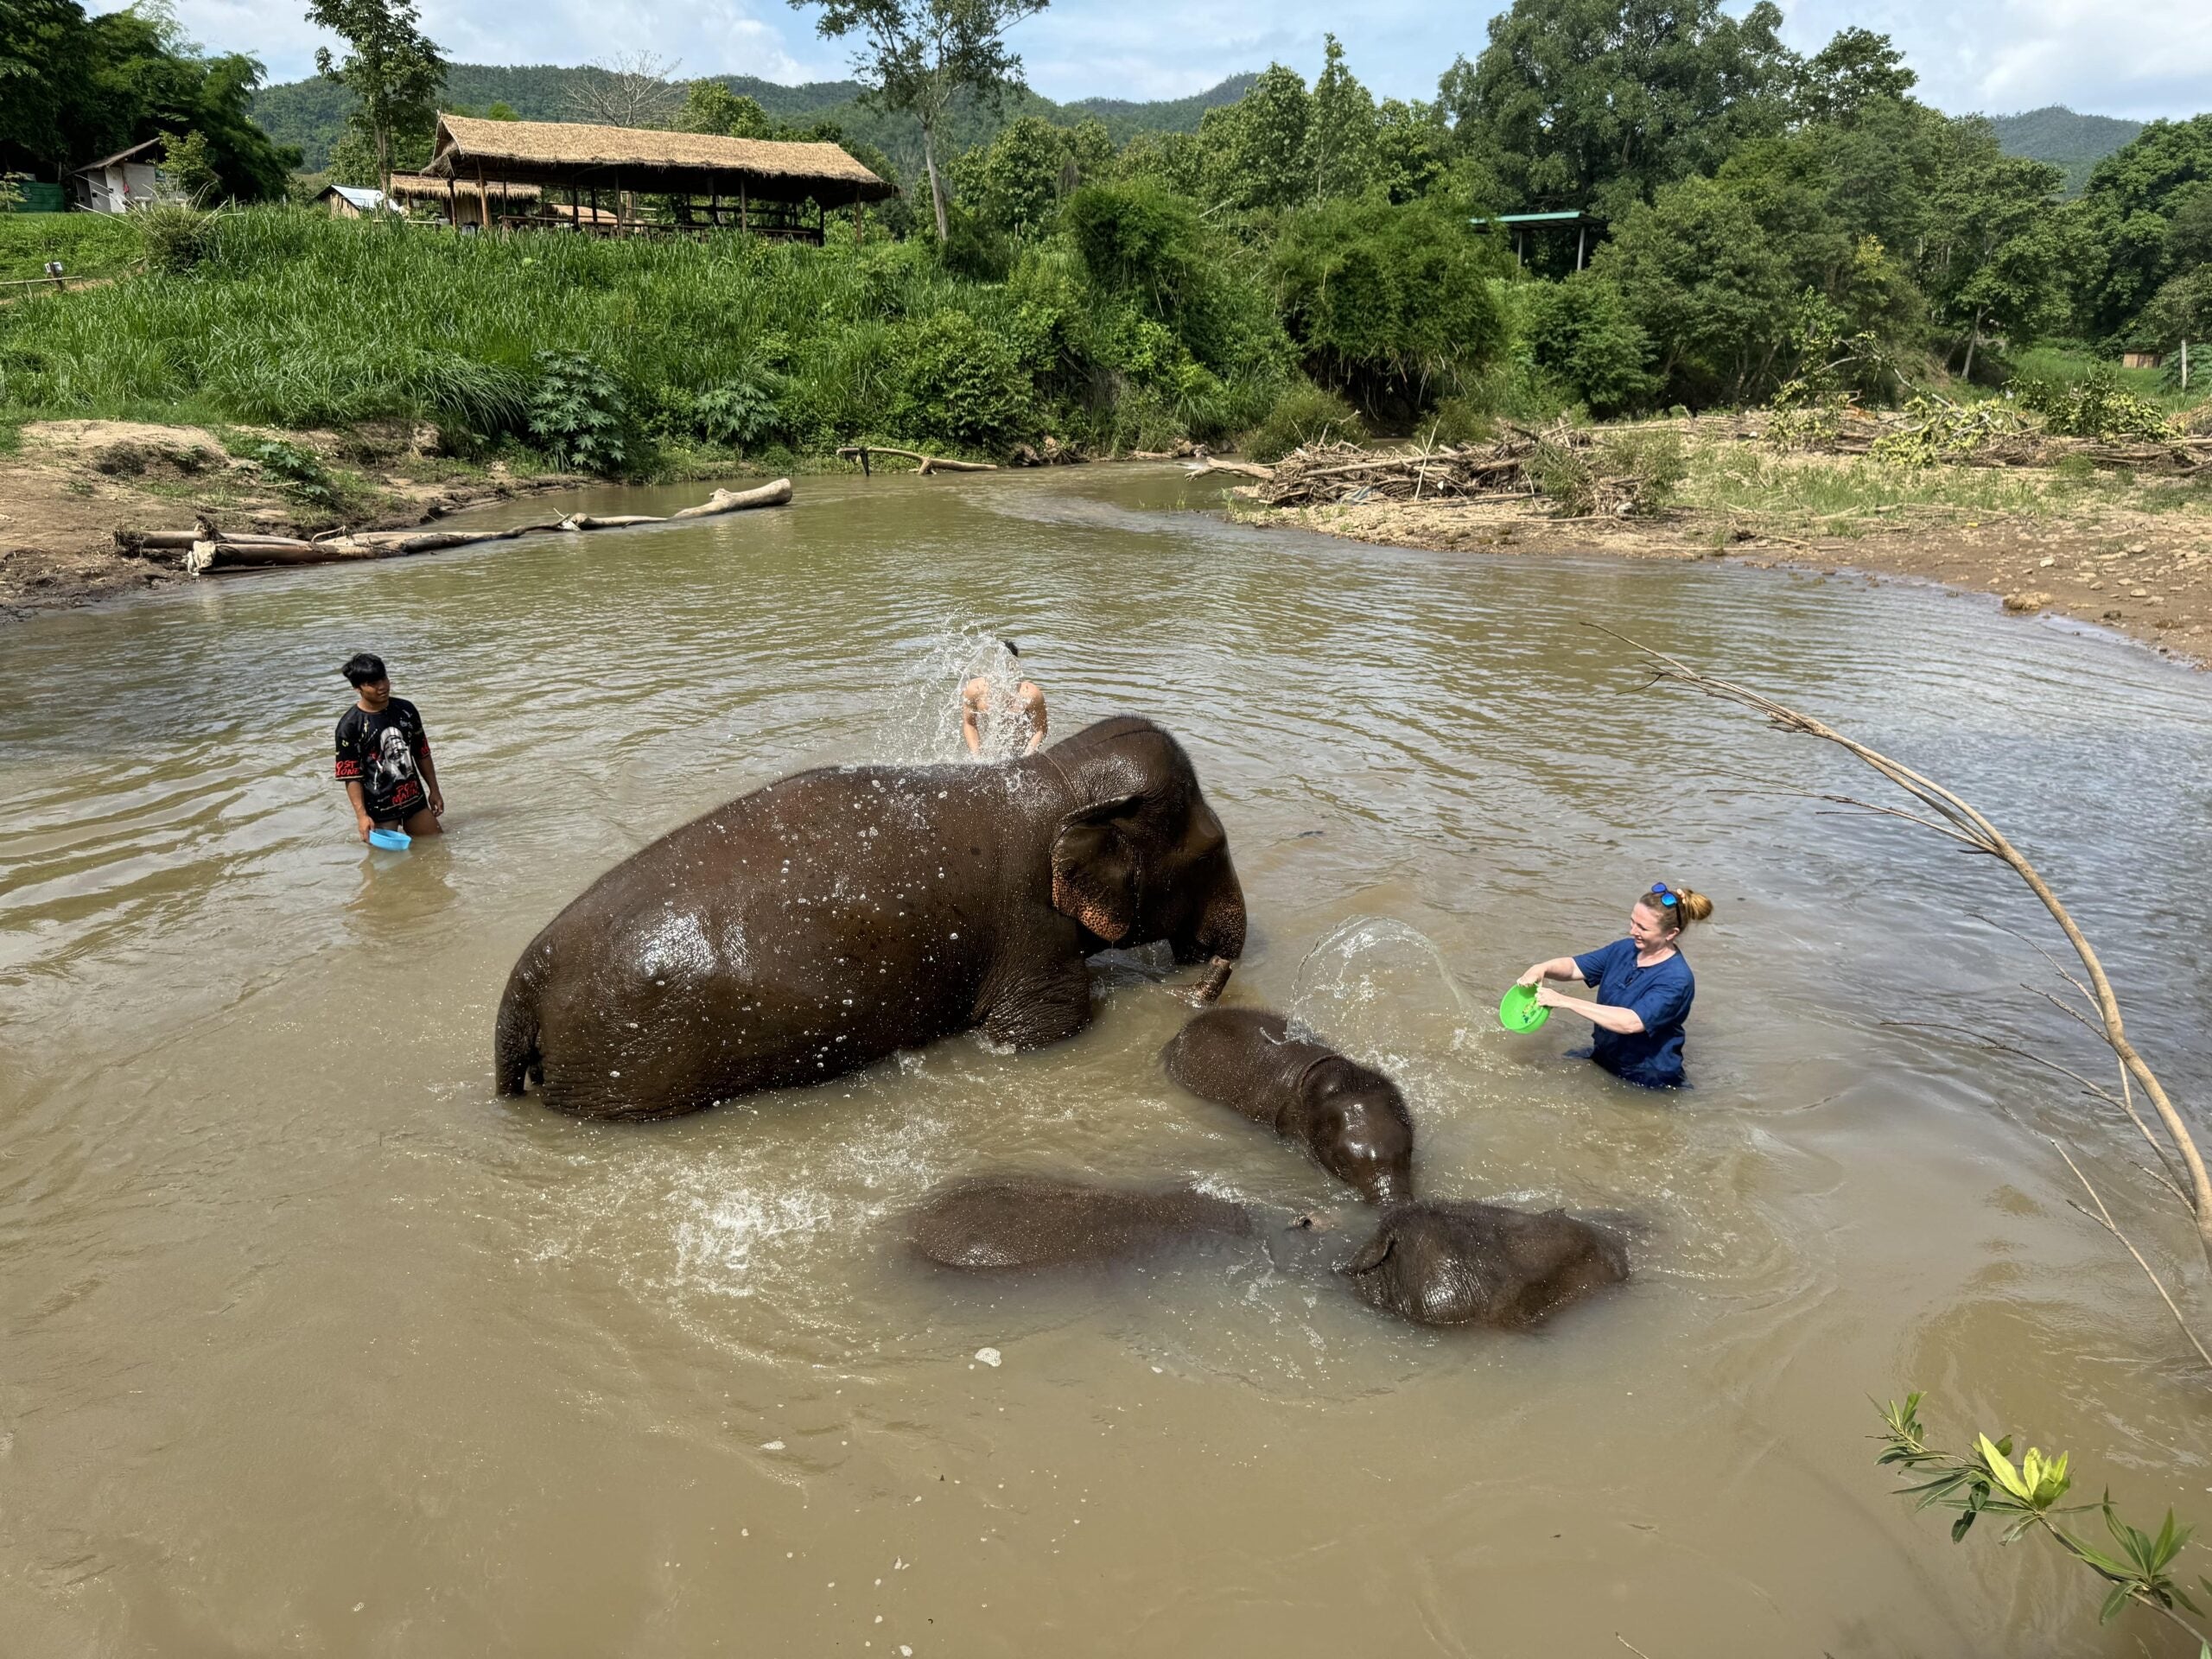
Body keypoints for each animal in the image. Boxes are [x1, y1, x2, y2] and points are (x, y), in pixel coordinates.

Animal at [494, 716, 1246, 1119]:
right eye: (1213, 850)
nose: (1194, 987)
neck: (1058, 779)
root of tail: (522, 982)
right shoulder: (1034, 938)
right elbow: (1042, 1033)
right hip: (626, 1072)